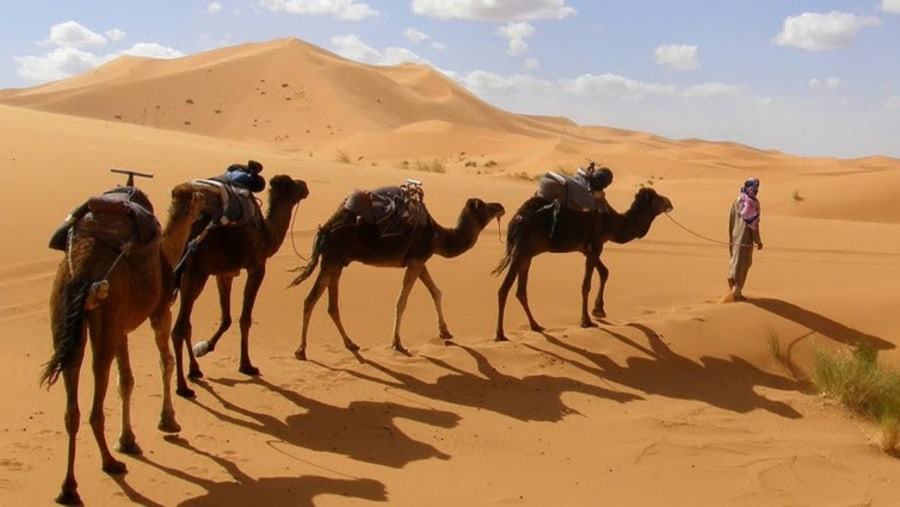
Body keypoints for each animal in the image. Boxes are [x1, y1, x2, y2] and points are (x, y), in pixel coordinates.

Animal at [40, 182, 206, 504]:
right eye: (198, 198)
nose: (206, 205)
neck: (166, 250)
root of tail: (82, 271)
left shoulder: (122, 329)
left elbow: (126, 380)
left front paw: (128, 440)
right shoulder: (159, 310)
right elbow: (164, 362)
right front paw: (168, 421)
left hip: (64, 315)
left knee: (72, 403)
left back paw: (68, 488)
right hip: (105, 313)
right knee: (95, 400)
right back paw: (110, 464)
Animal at [171, 177, 310, 398]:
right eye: (294, 185)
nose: (304, 185)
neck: (266, 234)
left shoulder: (225, 273)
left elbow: (226, 318)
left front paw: (206, 347)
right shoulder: (257, 267)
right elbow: (245, 318)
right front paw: (247, 365)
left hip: (187, 275)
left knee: (186, 324)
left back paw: (195, 370)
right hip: (196, 272)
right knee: (179, 328)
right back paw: (183, 387)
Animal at [292, 188, 510, 362]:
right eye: (483, 206)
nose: (500, 206)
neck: (437, 236)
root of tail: (325, 229)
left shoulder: (419, 261)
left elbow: (436, 292)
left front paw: (445, 331)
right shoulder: (416, 261)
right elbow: (402, 302)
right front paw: (398, 343)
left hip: (337, 262)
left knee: (331, 306)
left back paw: (350, 343)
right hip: (332, 258)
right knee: (310, 300)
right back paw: (301, 350)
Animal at [496, 187, 672, 342]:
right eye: (656, 198)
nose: (669, 203)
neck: (611, 222)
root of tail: (514, 221)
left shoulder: (588, 249)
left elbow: (604, 272)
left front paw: (599, 310)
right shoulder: (595, 245)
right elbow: (586, 284)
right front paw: (586, 320)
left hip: (527, 255)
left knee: (521, 291)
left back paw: (536, 326)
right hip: (520, 252)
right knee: (503, 289)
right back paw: (500, 334)